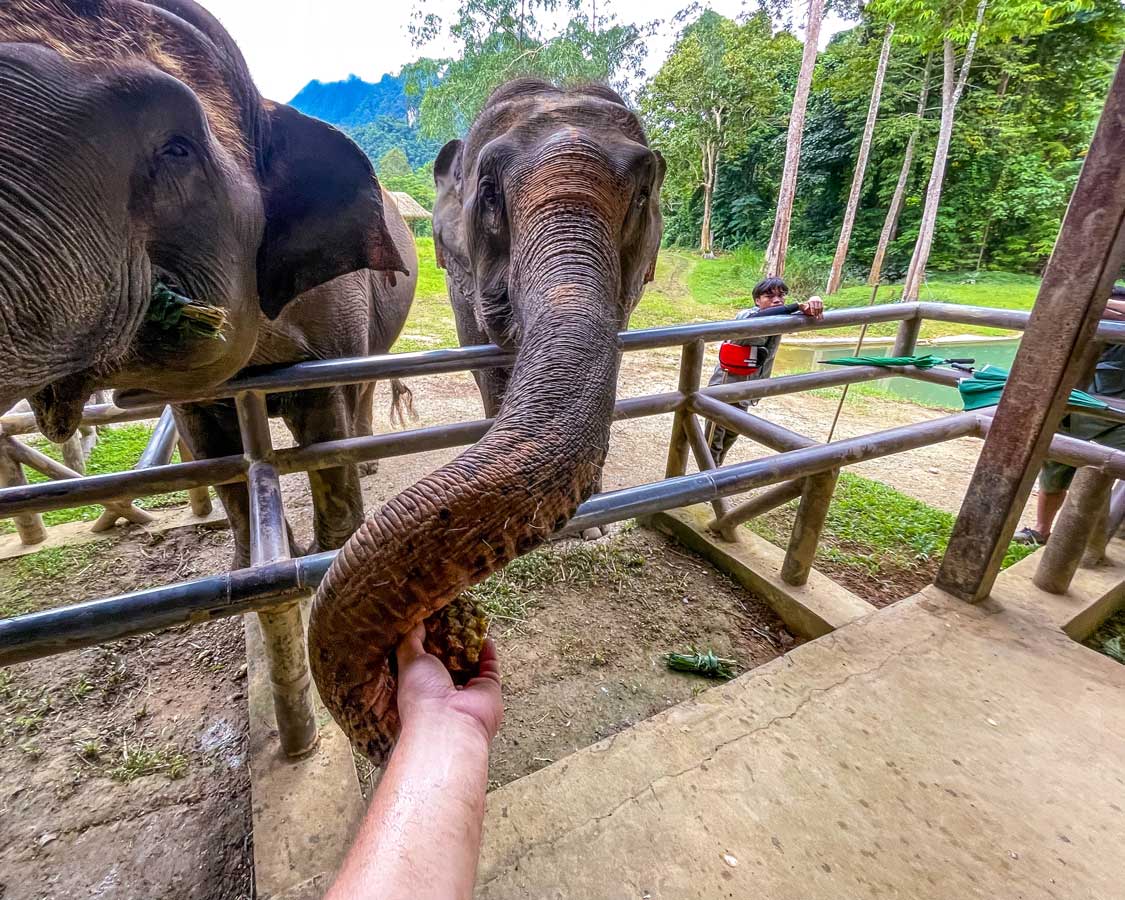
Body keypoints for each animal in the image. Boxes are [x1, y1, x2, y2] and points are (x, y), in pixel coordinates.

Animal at [0, 0, 418, 567]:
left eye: (177, 149)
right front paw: (249, 566)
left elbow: (324, 432)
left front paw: (326, 554)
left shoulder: (336, 311)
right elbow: (212, 450)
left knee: (365, 382)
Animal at [308, 81, 661, 765]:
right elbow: (486, 356)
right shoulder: (462, 280)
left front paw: (590, 529)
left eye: (642, 193)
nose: (387, 731)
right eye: (490, 193)